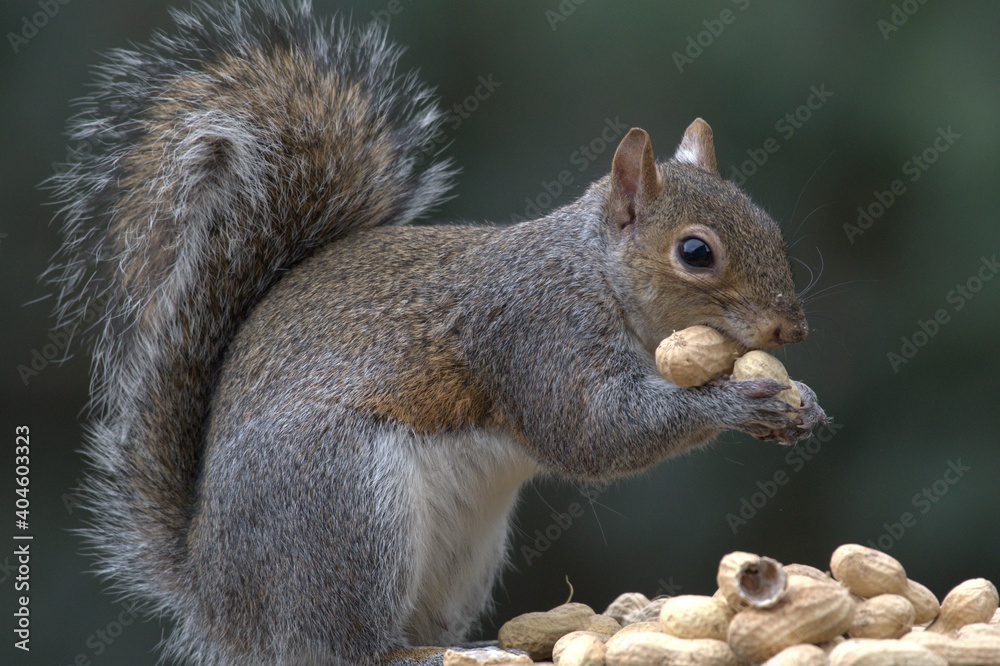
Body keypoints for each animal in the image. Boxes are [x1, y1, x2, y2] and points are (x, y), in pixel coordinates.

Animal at [44, 1, 826, 664]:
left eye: (768, 223)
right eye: (695, 252)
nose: (791, 328)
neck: (595, 275)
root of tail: (220, 603)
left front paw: (805, 405)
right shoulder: (536, 332)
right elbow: (594, 432)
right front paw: (736, 401)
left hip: (459, 554)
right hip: (342, 507)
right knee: (348, 648)